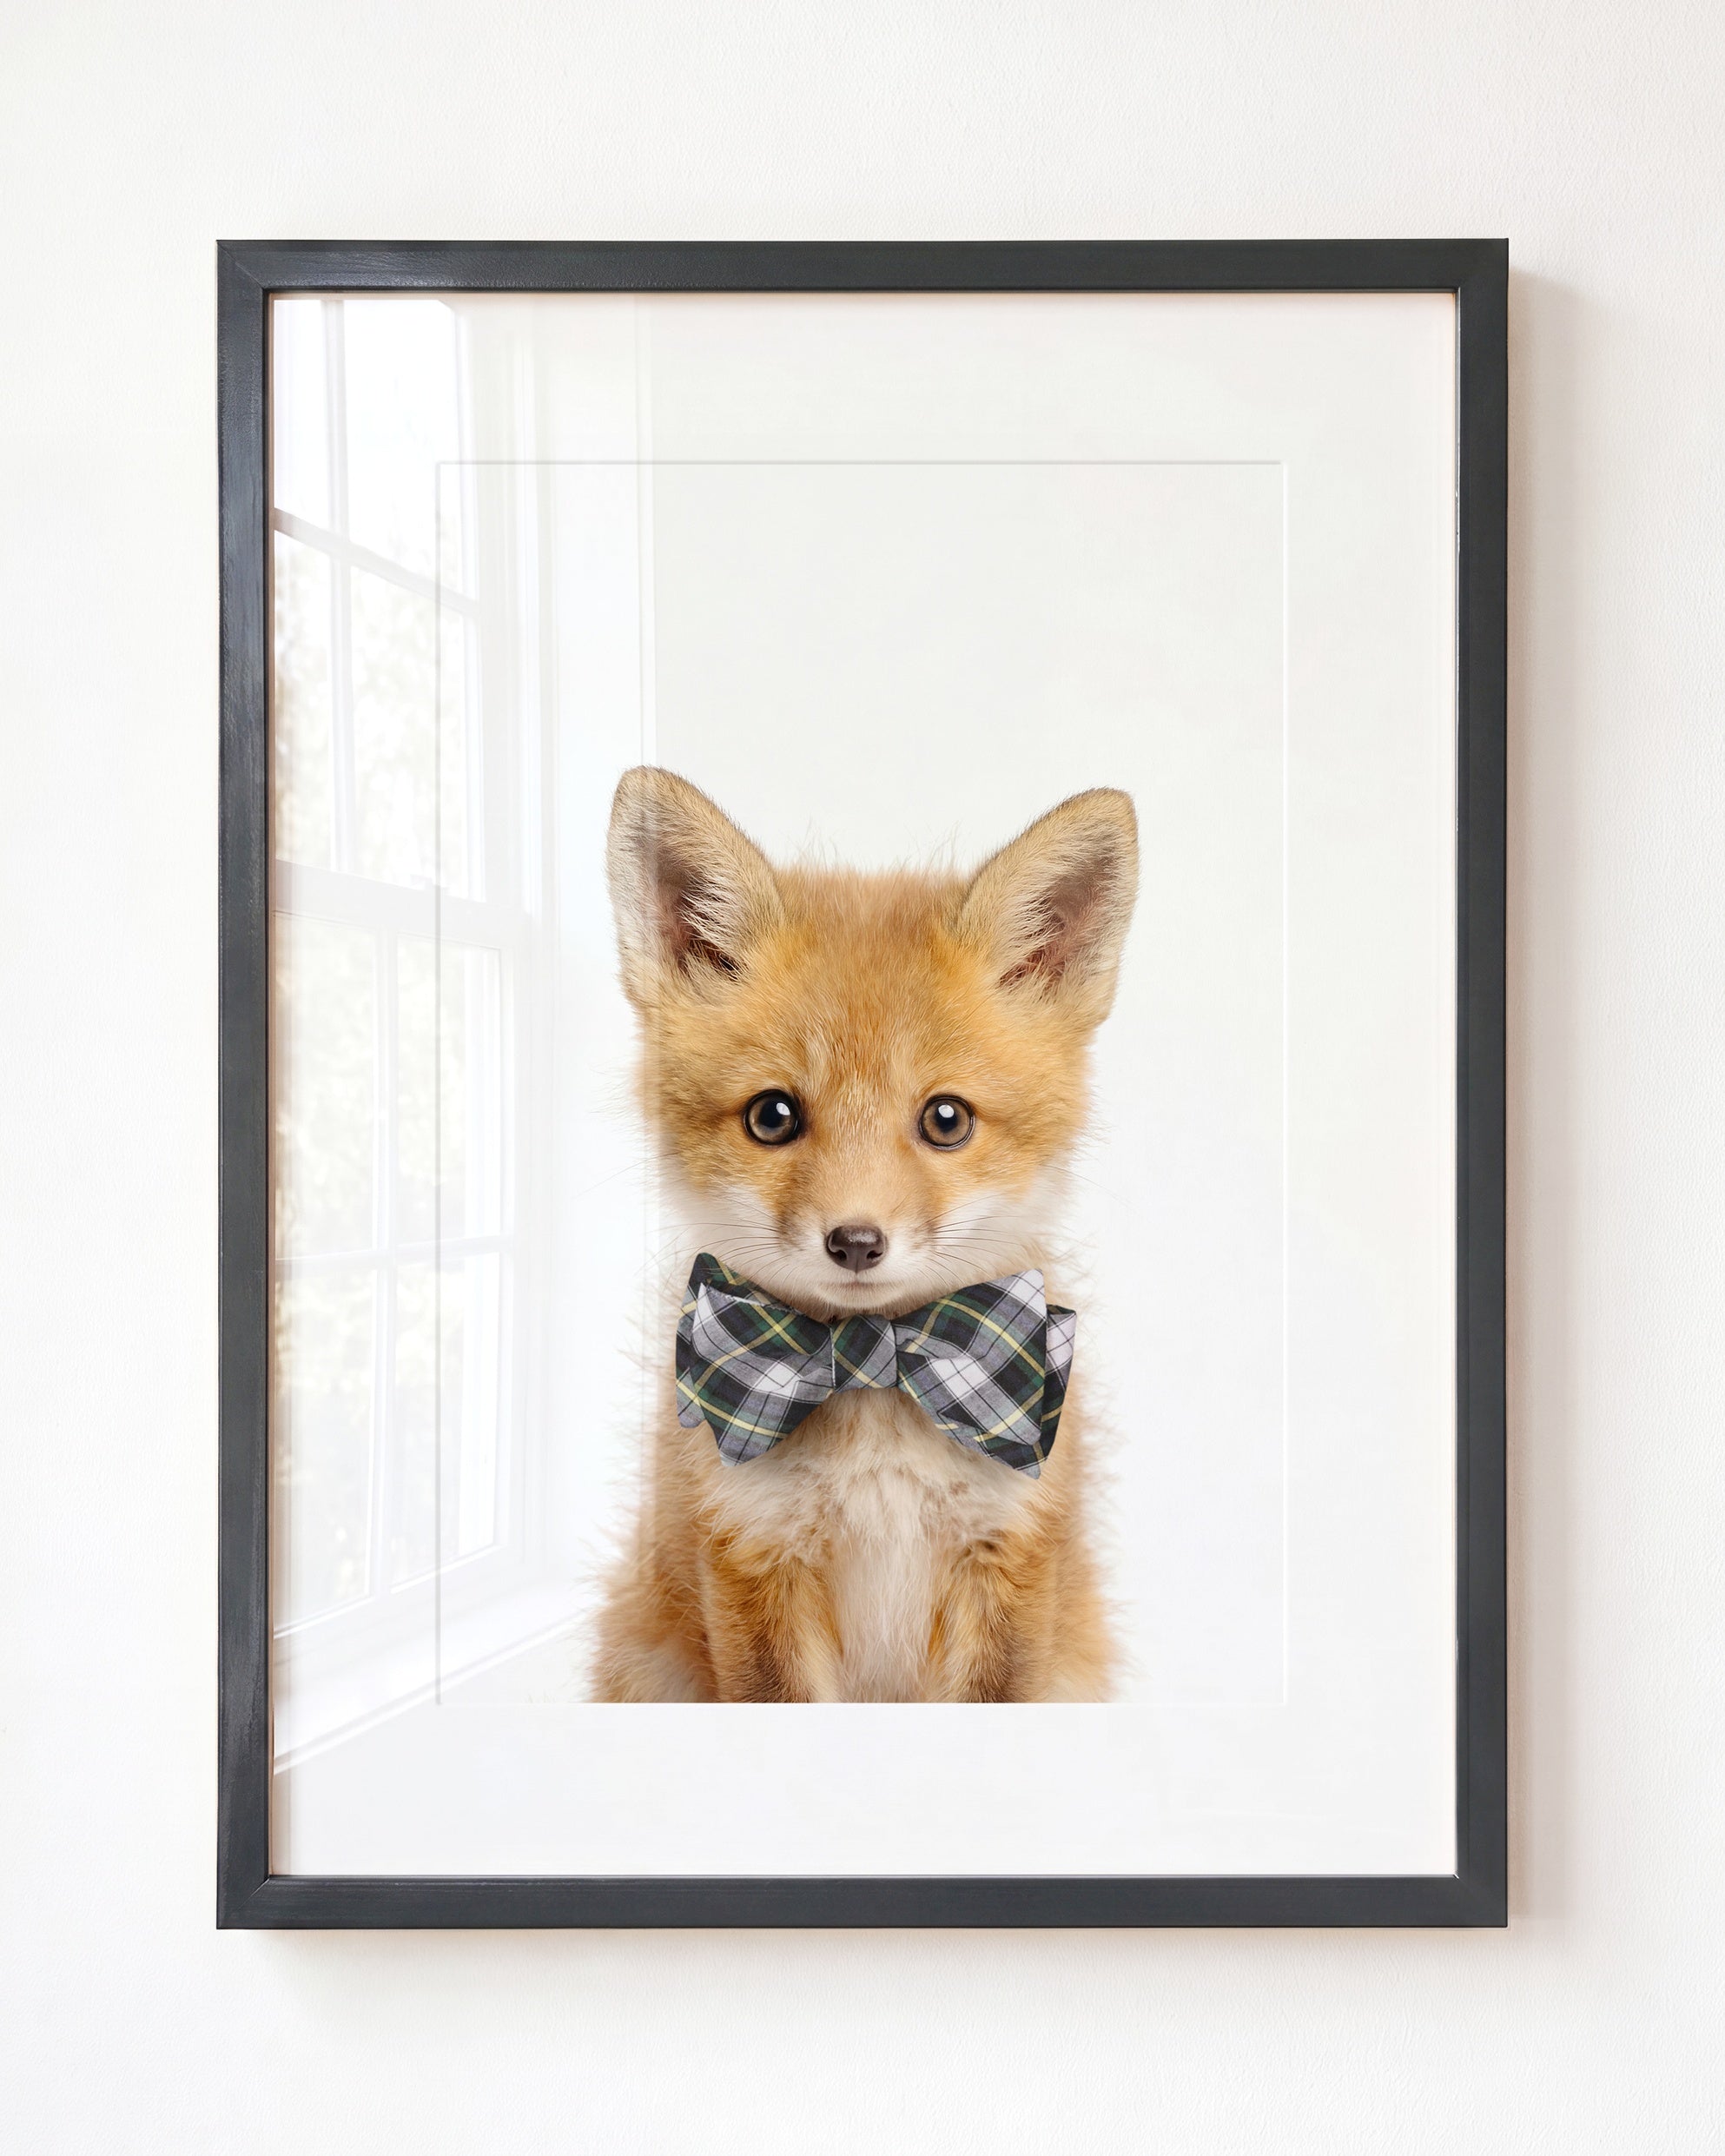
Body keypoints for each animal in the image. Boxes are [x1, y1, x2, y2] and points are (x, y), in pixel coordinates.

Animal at [591, 765, 1139, 1703]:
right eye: (773, 1116)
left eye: (946, 1120)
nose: (855, 1242)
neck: (874, 1371)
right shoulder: (752, 1556)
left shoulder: (1009, 1558)